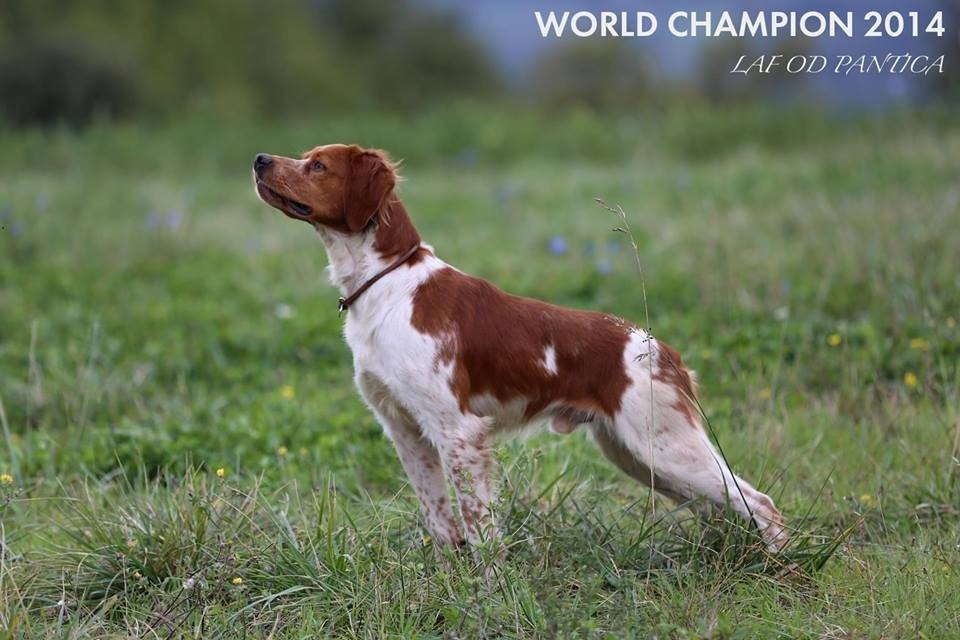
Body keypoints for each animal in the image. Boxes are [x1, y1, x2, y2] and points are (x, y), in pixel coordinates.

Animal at [253, 144, 788, 552]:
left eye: (318, 165)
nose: (259, 159)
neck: (386, 286)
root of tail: (663, 351)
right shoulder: (405, 431)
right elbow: (442, 524)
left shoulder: (458, 431)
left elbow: (479, 528)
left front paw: (488, 596)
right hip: (636, 456)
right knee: (730, 507)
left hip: (666, 448)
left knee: (761, 504)